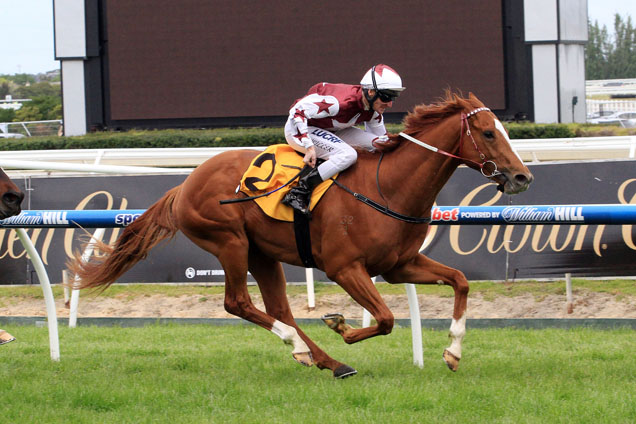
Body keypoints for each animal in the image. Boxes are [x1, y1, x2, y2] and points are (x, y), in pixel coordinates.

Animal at [72, 93, 532, 378]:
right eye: (488, 133)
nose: (522, 177)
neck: (388, 186)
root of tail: (184, 184)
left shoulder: (400, 265)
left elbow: (461, 280)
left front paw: (453, 352)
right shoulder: (344, 268)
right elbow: (384, 319)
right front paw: (342, 325)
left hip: (262, 253)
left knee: (279, 308)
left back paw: (326, 360)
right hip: (230, 242)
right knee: (238, 303)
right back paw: (301, 346)